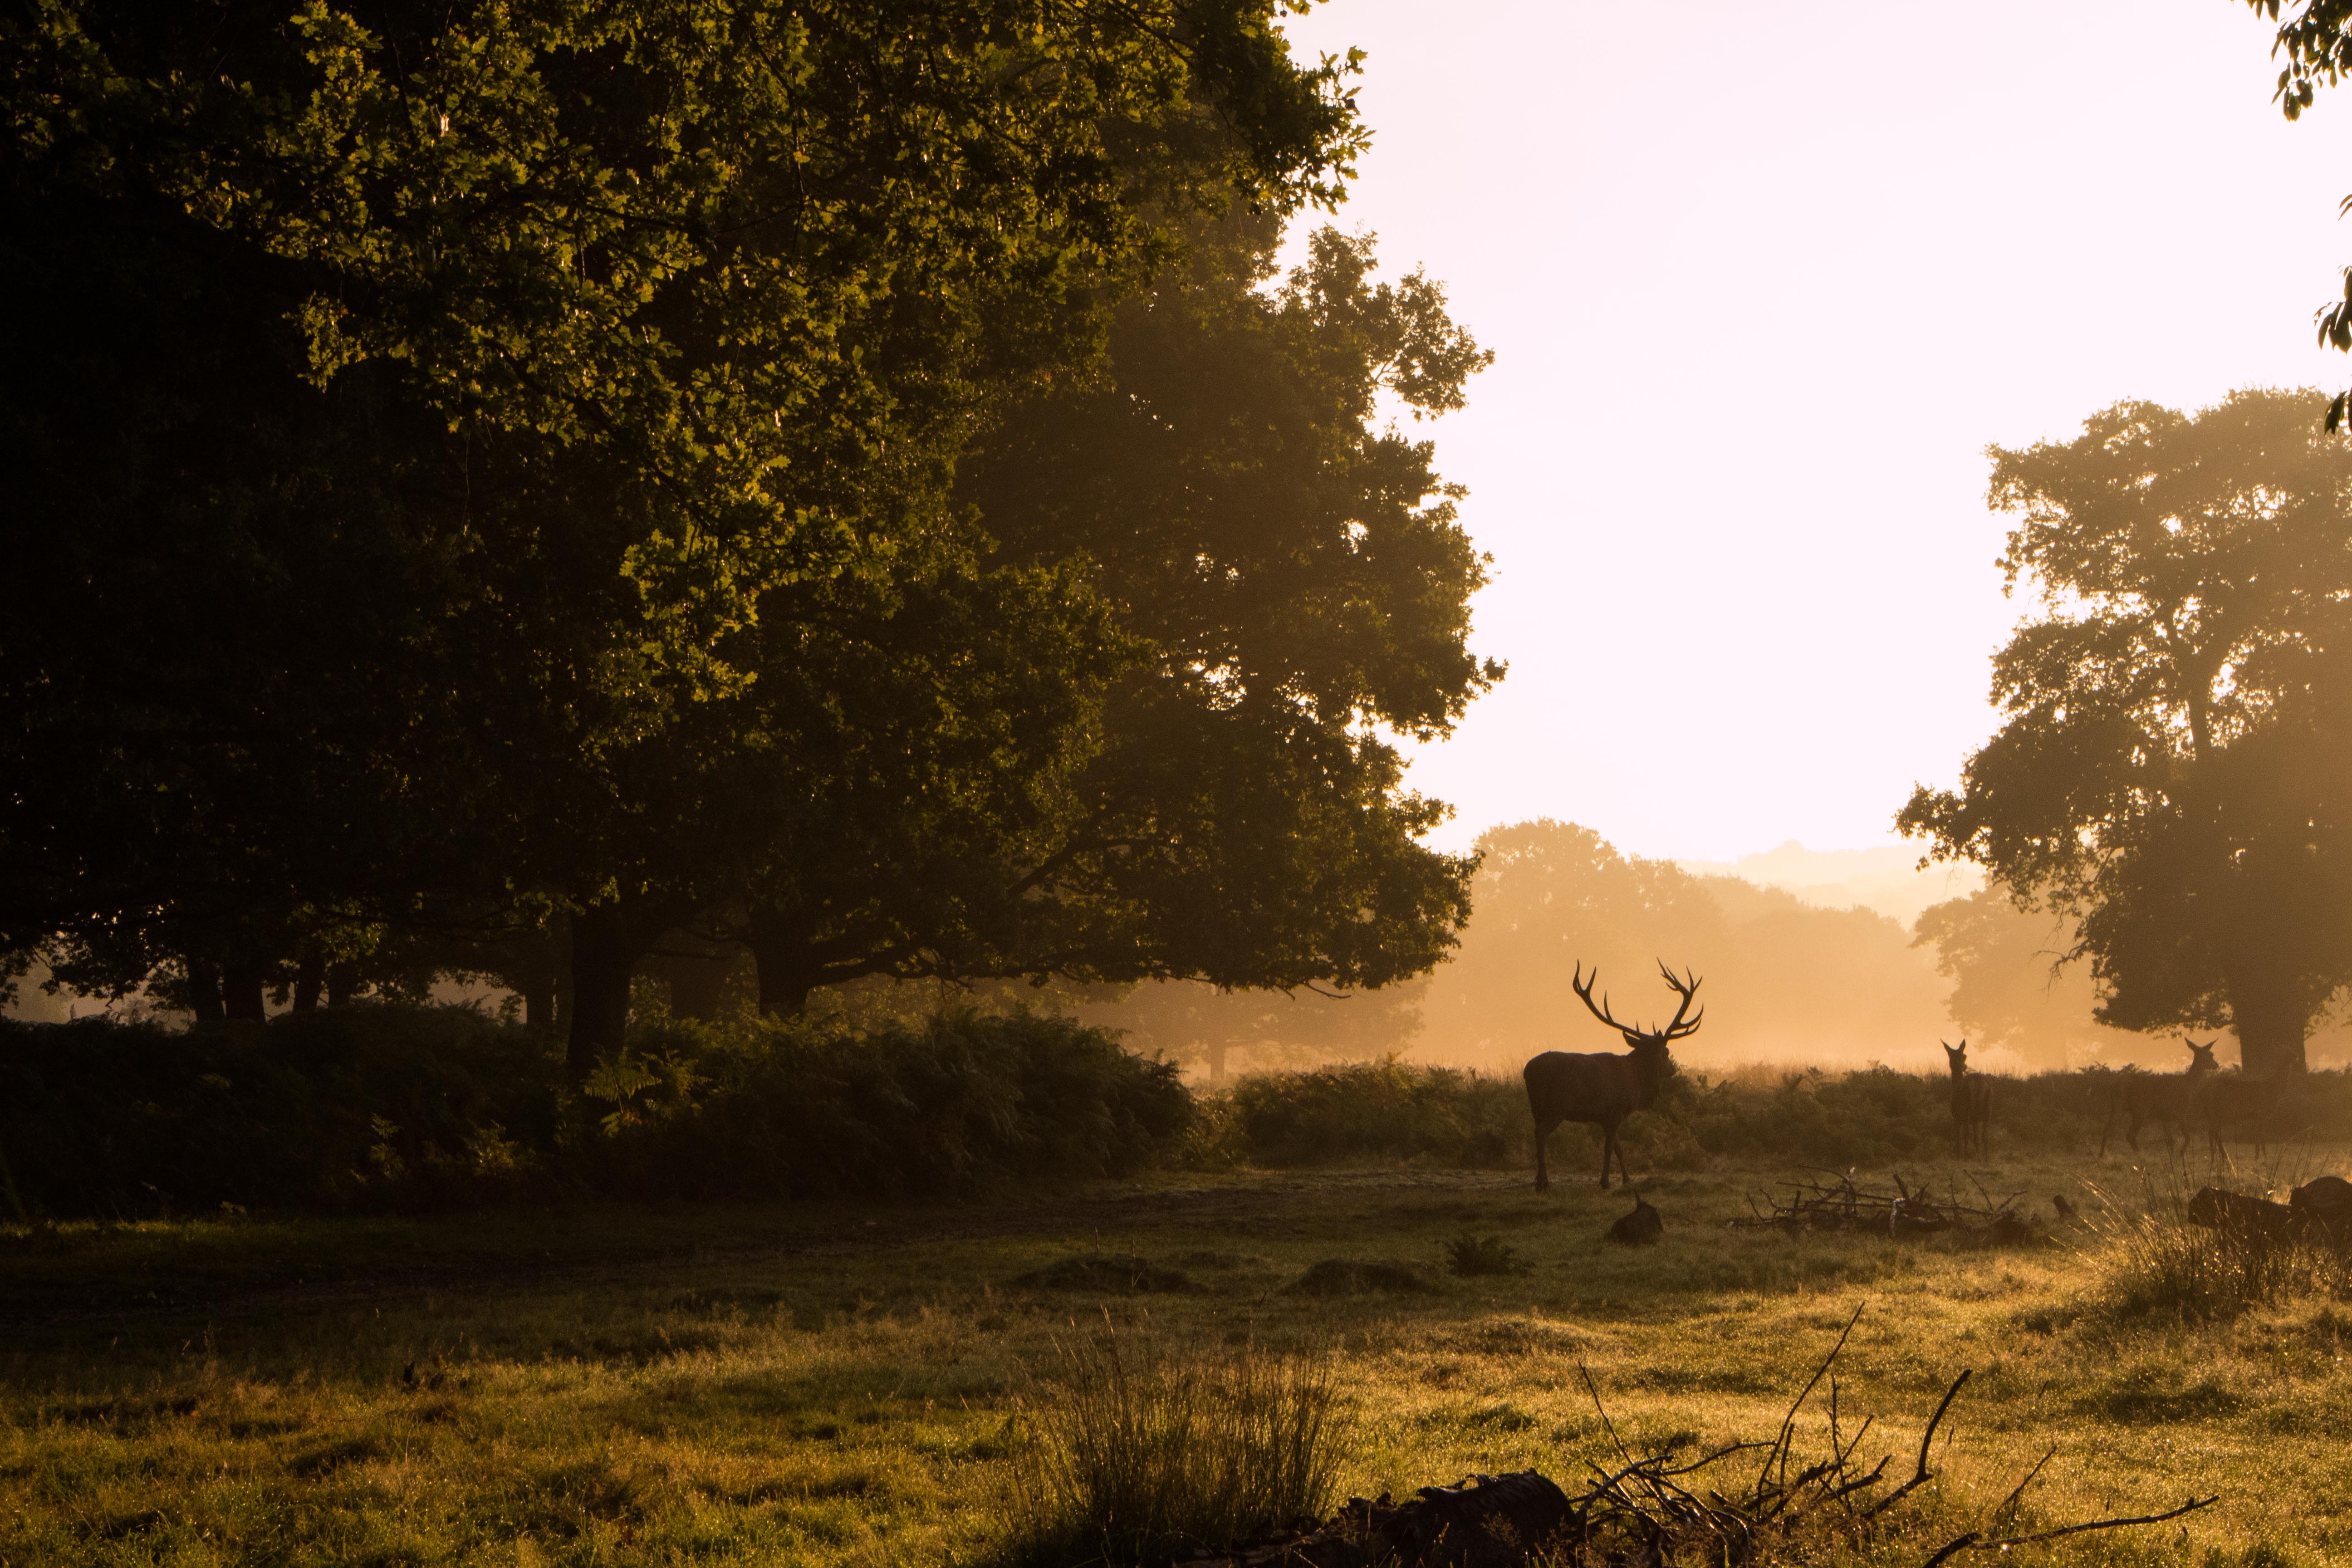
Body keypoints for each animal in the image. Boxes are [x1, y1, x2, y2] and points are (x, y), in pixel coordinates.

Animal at [1514, 964, 1703, 1194]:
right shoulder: (1615, 1111)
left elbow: (1618, 1148)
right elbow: (1608, 1148)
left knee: (1535, 1131)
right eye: (1666, 1051)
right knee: (1541, 1133)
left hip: (1536, 1107)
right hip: (1557, 1106)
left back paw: (1537, 1179)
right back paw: (1544, 1182)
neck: (1637, 1082)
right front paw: (1605, 1182)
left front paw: (1627, 1179)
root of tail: (1528, 1071)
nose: (1672, 1069)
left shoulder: (1606, 1117)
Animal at [1938, 1048, 1994, 1161]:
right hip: (1987, 1108)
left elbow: (1959, 1137)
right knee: (1985, 1135)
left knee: (1967, 1134)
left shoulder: (1956, 1117)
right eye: (1964, 1057)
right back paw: (1986, 1160)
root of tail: (1979, 1082)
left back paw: (1965, 1157)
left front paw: (1958, 1157)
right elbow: (1977, 1137)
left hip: (1968, 1109)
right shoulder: (1975, 1120)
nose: (1965, 1066)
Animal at [2098, 1044, 2220, 1152]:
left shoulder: (2165, 1116)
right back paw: (2139, 1155)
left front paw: (2173, 1157)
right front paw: (2180, 1155)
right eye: (2210, 1055)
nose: (2216, 1065)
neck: (2189, 1085)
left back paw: (2102, 1156)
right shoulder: (2181, 1111)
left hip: (2118, 1108)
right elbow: (2188, 1137)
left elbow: (2171, 1140)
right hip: (2139, 1109)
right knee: (2129, 1134)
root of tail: (2113, 1086)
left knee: (2107, 1129)